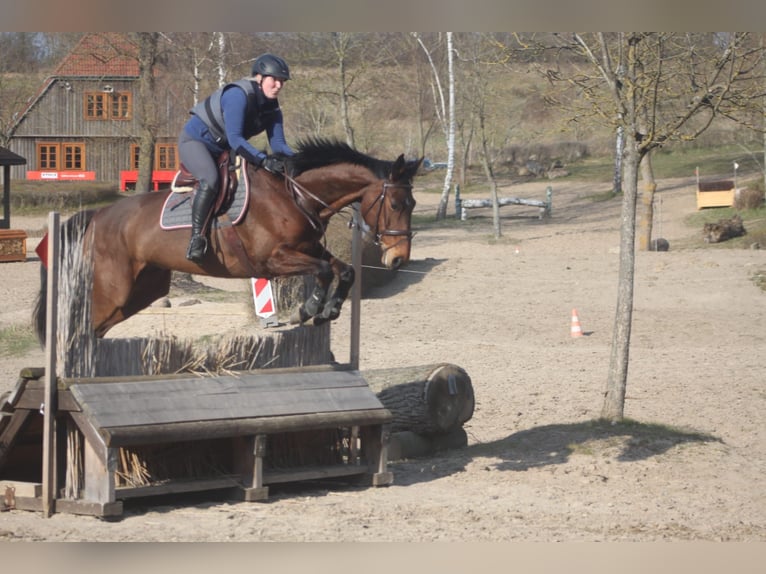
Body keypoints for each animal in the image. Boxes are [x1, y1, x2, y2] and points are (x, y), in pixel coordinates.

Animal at [33, 137, 424, 344]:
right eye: (395, 204)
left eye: (414, 204)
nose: (398, 259)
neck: (296, 195)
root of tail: (97, 216)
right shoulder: (273, 259)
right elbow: (325, 270)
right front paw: (309, 309)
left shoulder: (308, 249)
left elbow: (344, 270)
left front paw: (329, 310)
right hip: (113, 289)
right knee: (80, 325)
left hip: (141, 291)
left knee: (94, 328)